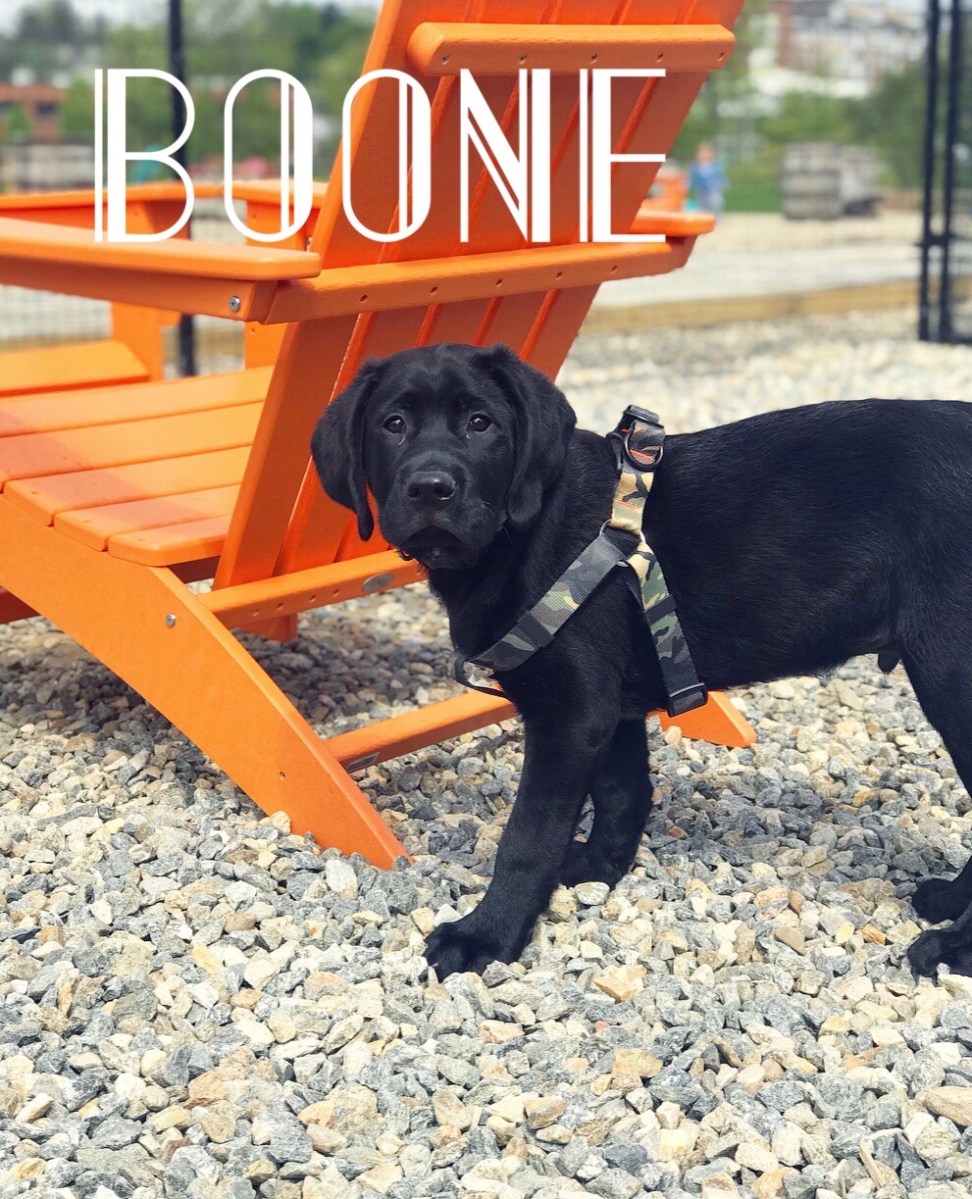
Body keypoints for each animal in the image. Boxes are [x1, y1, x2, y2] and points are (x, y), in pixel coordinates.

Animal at [312, 341, 972, 980]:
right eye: (393, 424)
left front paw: (487, 935)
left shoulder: (572, 712)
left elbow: (528, 835)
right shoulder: (608, 704)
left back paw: (953, 948)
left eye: (481, 423)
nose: (431, 487)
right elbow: (621, 789)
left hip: (952, 678)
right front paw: (599, 866)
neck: (526, 531)